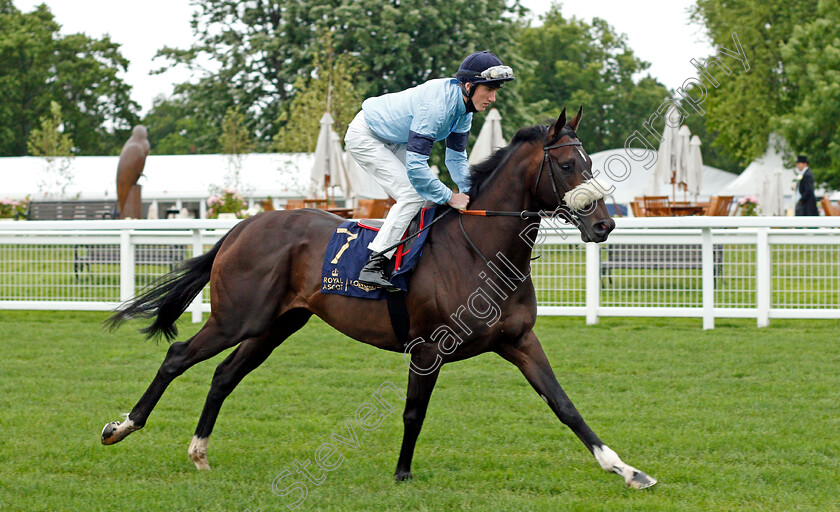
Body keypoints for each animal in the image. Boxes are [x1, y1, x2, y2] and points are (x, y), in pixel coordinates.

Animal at [101, 107, 656, 488]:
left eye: (589, 161)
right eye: (564, 164)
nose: (603, 225)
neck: (480, 250)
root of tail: (243, 224)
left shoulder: (519, 341)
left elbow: (564, 405)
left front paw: (627, 470)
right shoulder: (429, 347)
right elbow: (413, 412)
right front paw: (403, 474)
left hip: (276, 325)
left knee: (223, 375)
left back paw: (199, 451)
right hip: (238, 317)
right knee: (178, 356)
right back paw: (122, 426)